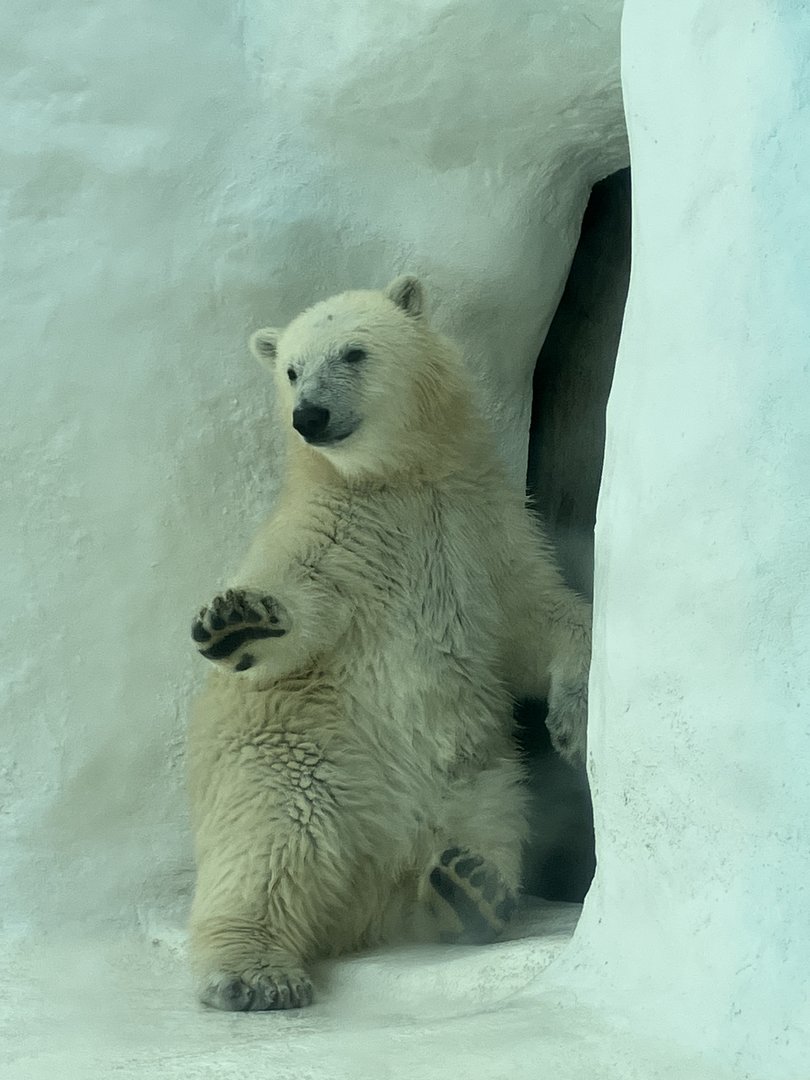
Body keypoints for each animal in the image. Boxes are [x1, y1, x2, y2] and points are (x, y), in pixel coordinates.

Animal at [186, 275, 592, 1011]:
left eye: (353, 352)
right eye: (291, 370)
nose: (309, 416)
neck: (399, 481)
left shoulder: (484, 531)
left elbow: (541, 619)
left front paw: (573, 724)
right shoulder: (338, 536)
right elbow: (299, 614)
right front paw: (236, 619)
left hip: (480, 783)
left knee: (488, 830)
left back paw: (470, 892)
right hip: (292, 759)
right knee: (265, 852)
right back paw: (253, 974)